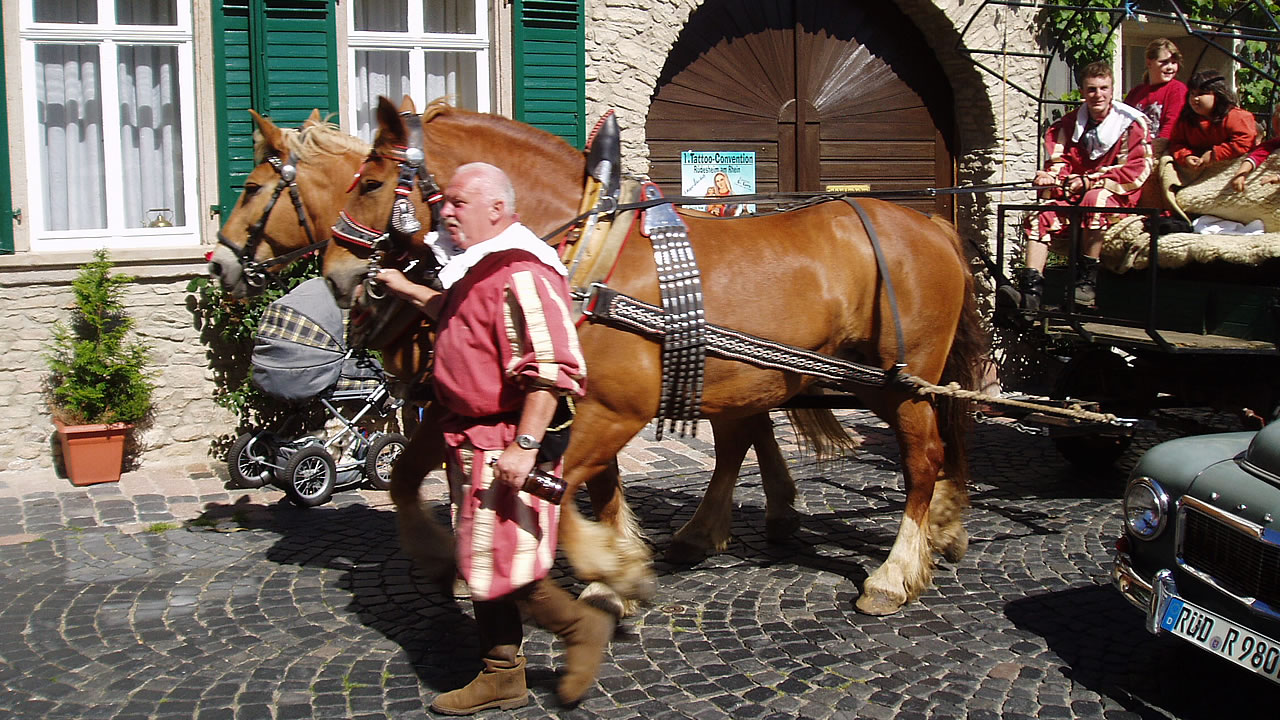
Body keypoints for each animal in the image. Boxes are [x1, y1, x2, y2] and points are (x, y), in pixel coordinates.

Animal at [325, 94, 983, 609]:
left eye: (373, 182)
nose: (338, 277)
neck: (589, 252)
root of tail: (930, 225)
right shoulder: (580, 405)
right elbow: (579, 486)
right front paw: (607, 565)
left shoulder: (615, 410)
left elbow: (552, 488)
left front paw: (608, 573)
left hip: (901, 381)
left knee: (923, 456)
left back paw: (895, 573)